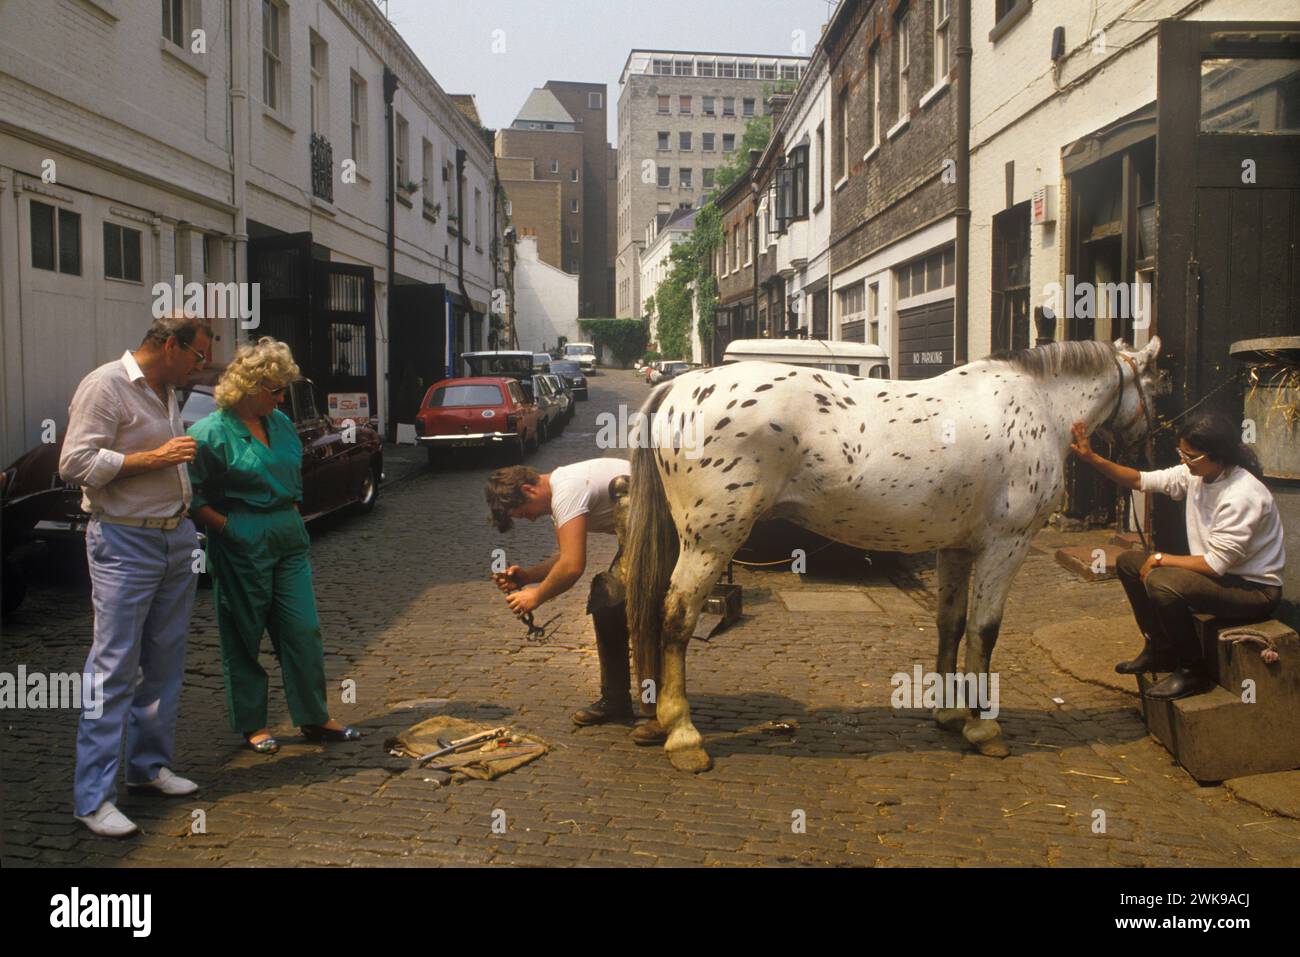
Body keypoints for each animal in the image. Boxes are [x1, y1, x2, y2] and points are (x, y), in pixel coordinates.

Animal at [624, 335, 1164, 769]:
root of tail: (681, 387)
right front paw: (983, 728)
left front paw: (950, 713)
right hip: (711, 541)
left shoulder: (956, 548)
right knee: (676, 617)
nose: (1148, 445)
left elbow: (952, 624)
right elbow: (985, 631)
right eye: (1155, 386)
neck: (1036, 405)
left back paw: (657, 721)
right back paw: (684, 737)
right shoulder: (1006, 544)